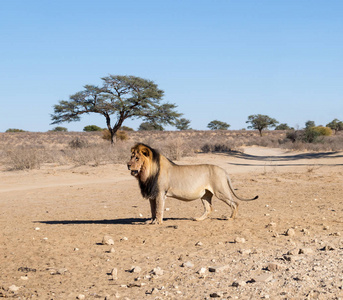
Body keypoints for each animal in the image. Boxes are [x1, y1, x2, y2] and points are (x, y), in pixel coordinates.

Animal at [127, 144, 260, 225]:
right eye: (131, 157)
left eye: (137, 158)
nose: (128, 165)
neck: (146, 174)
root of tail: (223, 170)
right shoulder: (152, 195)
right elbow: (153, 210)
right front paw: (151, 221)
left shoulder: (160, 193)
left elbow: (159, 209)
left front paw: (158, 222)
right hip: (205, 194)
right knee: (209, 208)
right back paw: (198, 219)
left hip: (220, 191)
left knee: (234, 203)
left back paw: (230, 218)